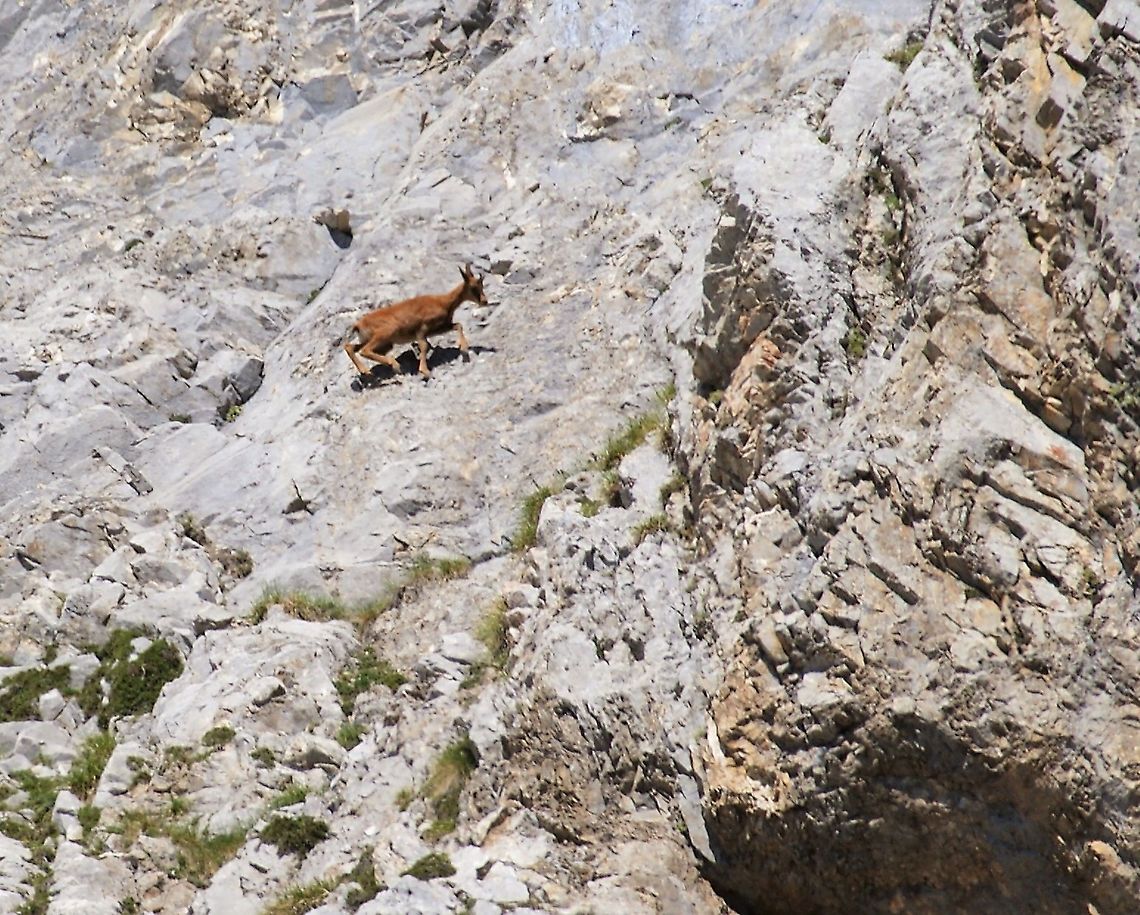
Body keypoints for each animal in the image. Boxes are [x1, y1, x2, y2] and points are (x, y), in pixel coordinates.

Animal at [344, 264, 488, 379]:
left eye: (482, 285)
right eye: (473, 287)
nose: (485, 301)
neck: (443, 302)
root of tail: (358, 325)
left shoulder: (439, 327)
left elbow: (458, 325)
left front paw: (464, 349)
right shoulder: (422, 328)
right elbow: (424, 346)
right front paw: (425, 371)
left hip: (380, 343)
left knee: (351, 347)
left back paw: (366, 371)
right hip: (385, 333)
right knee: (365, 350)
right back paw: (394, 365)